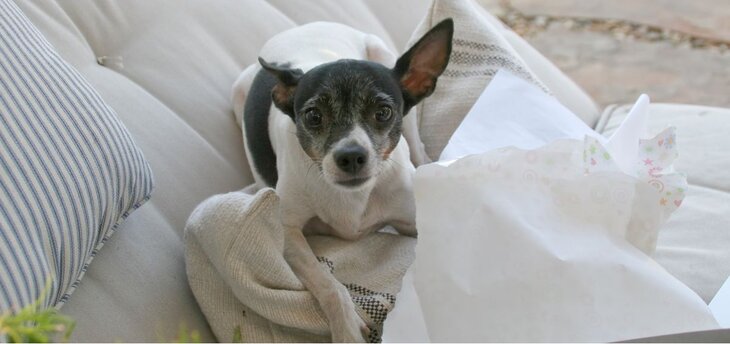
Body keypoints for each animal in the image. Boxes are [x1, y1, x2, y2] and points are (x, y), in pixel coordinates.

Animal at [232, 20, 450, 342]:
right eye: (313, 116)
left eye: (383, 112)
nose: (351, 156)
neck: (354, 198)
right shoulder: (288, 232)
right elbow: (328, 283)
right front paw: (347, 329)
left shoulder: (410, 223)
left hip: (384, 57)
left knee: (419, 149)